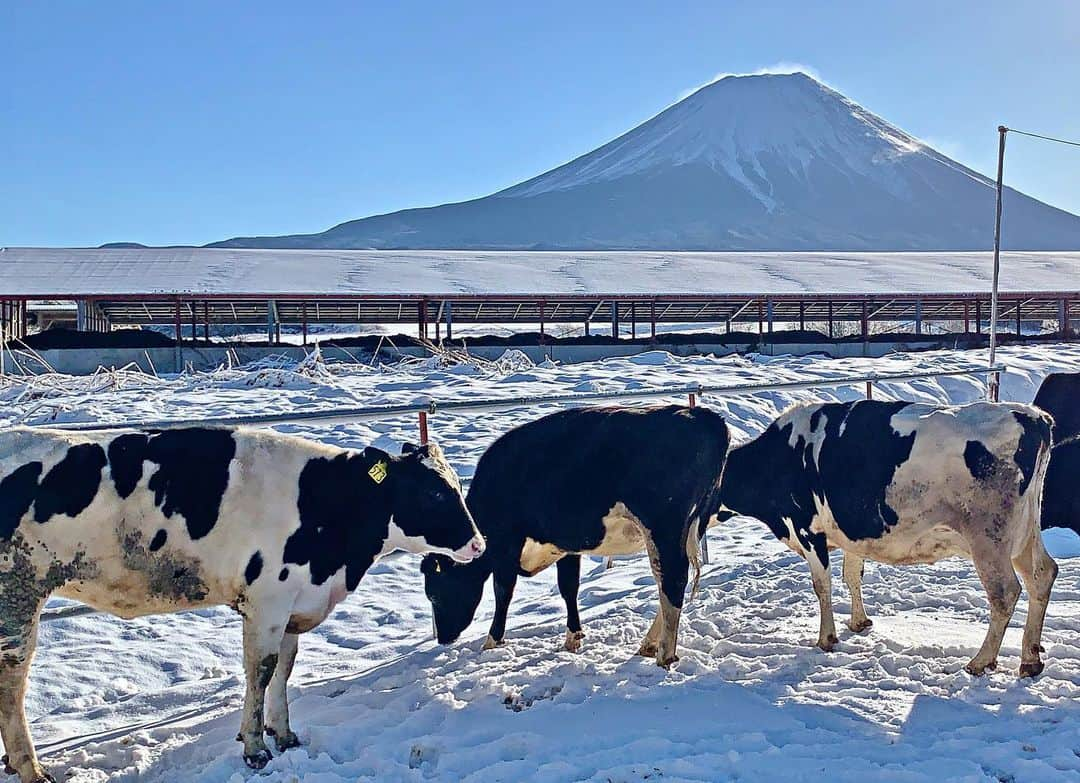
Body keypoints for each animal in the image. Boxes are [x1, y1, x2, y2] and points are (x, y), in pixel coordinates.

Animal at [0, 427, 481, 781]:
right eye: (434, 493)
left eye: (457, 485)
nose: (479, 543)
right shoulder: (267, 600)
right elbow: (261, 671)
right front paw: (255, 748)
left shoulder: (292, 605)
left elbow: (284, 670)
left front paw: (283, 735)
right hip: (17, 594)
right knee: (13, 681)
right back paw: (31, 767)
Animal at [416, 403, 730, 665]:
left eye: (434, 593)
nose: (443, 638)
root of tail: (702, 416)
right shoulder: (567, 544)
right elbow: (569, 586)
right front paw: (573, 638)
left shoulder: (507, 543)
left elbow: (503, 590)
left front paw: (492, 642)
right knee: (669, 581)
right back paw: (650, 645)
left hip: (663, 526)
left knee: (672, 581)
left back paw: (664, 654)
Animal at [717, 399, 1054, 673]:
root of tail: (1035, 417)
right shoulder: (851, 533)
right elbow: (852, 574)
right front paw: (859, 622)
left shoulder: (808, 530)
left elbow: (822, 585)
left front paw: (826, 638)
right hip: (1025, 533)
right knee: (1043, 574)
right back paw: (1030, 660)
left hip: (989, 538)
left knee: (1004, 592)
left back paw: (981, 661)